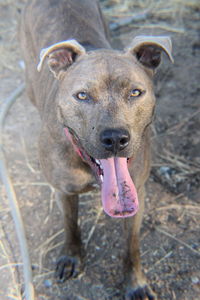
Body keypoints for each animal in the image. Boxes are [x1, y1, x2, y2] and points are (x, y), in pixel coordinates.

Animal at [19, 0, 173, 298]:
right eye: (82, 95)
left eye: (135, 92)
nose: (115, 138)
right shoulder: (64, 191)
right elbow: (70, 225)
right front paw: (71, 256)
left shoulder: (137, 193)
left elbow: (131, 246)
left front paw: (135, 283)